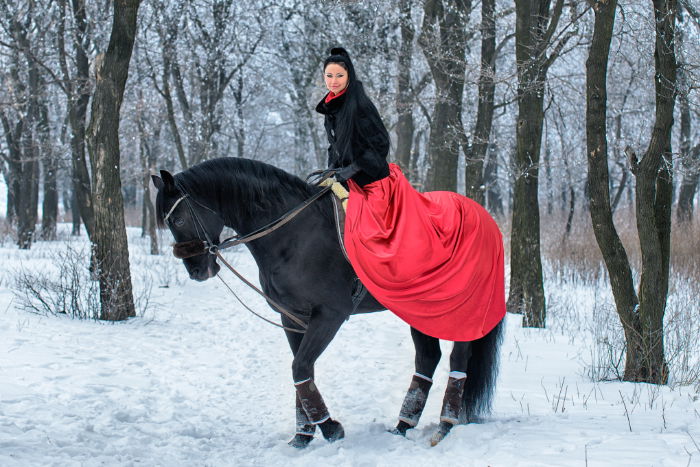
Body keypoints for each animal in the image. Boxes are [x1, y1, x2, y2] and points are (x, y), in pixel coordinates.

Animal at [153, 158, 504, 450]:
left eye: (179, 218)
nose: (197, 270)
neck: (294, 235)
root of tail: (484, 217)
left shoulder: (329, 316)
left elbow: (300, 368)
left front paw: (330, 428)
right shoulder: (293, 318)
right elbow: (302, 372)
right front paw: (302, 435)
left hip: (458, 309)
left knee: (459, 358)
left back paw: (445, 426)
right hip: (421, 310)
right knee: (427, 358)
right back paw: (403, 425)